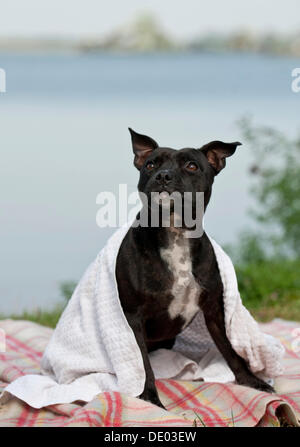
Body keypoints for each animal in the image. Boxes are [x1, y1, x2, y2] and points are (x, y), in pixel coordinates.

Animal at [115, 127, 274, 410]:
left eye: (191, 166)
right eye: (150, 164)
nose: (163, 175)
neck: (175, 233)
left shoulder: (214, 311)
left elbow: (231, 350)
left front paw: (252, 381)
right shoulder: (133, 317)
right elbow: (142, 364)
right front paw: (150, 398)